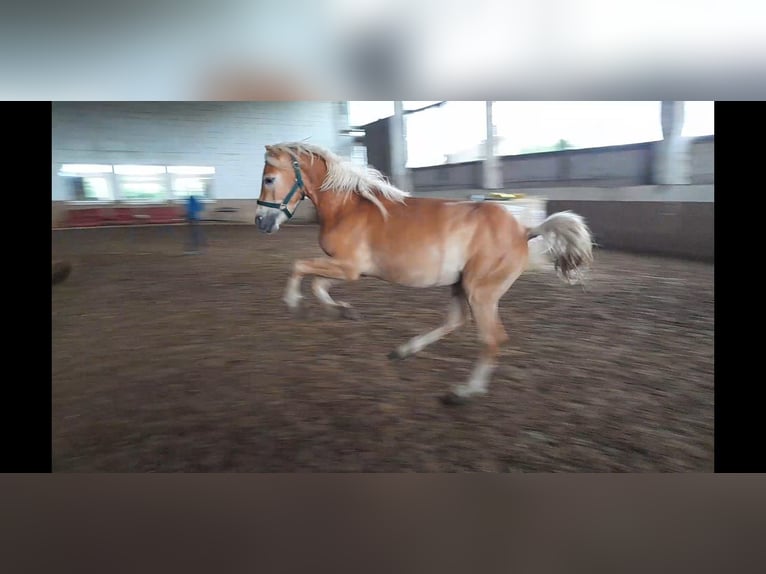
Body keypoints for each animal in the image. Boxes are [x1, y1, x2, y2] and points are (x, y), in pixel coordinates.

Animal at [255, 143, 596, 404]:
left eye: (269, 178)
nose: (261, 222)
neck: (348, 207)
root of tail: (525, 229)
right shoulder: (351, 270)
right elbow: (318, 284)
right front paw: (344, 311)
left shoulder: (348, 268)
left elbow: (300, 268)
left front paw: (293, 303)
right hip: (461, 285)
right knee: (456, 321)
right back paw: (403, 351)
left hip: (481, 292)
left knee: (492, 339)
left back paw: (463, 392)